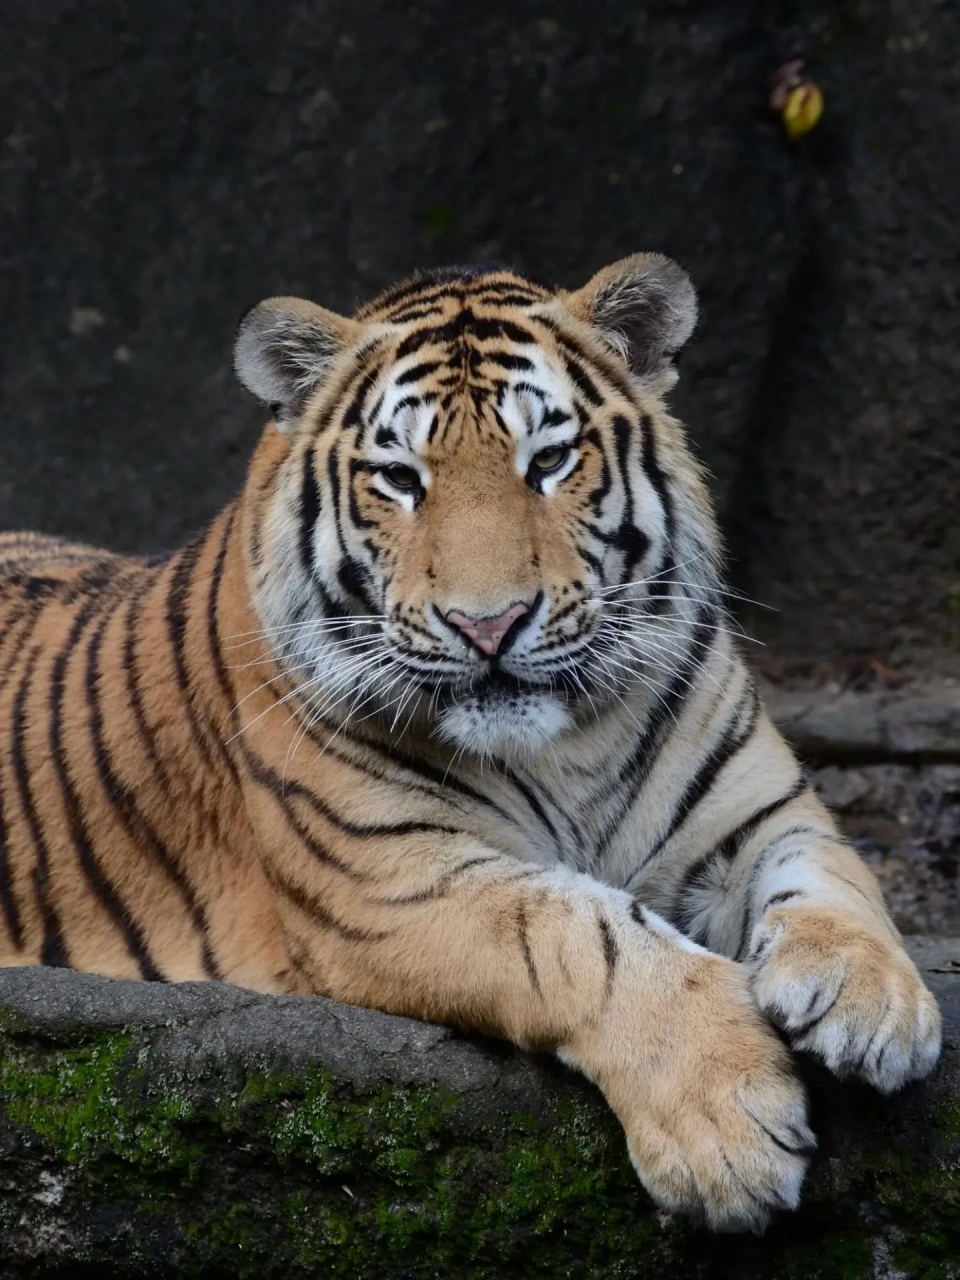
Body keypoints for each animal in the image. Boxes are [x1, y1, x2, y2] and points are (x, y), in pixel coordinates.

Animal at [0, 255, 940, 1232]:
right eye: (400, 478)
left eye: (549, 462)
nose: (488, 625)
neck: (568, 744)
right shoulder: (388, 880)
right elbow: (582, 932)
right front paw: (729, 1125)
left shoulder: (757, 811)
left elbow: (834, 877)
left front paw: (874, 1002)